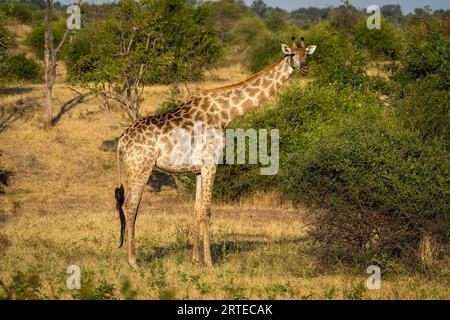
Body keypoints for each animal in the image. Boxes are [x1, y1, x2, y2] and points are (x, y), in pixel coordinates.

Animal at [116, 37, 316, 268]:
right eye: (292, 54)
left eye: (306, 54)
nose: (304, 67)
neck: (225, 113)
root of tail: (121, 141)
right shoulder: (211, 163)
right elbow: (208, 210)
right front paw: (210, 261)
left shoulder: (199, 169)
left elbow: (197, 209)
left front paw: (195, 259)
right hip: (141, 167)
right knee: (130, 206)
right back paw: (133, 262)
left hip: (133, 168)